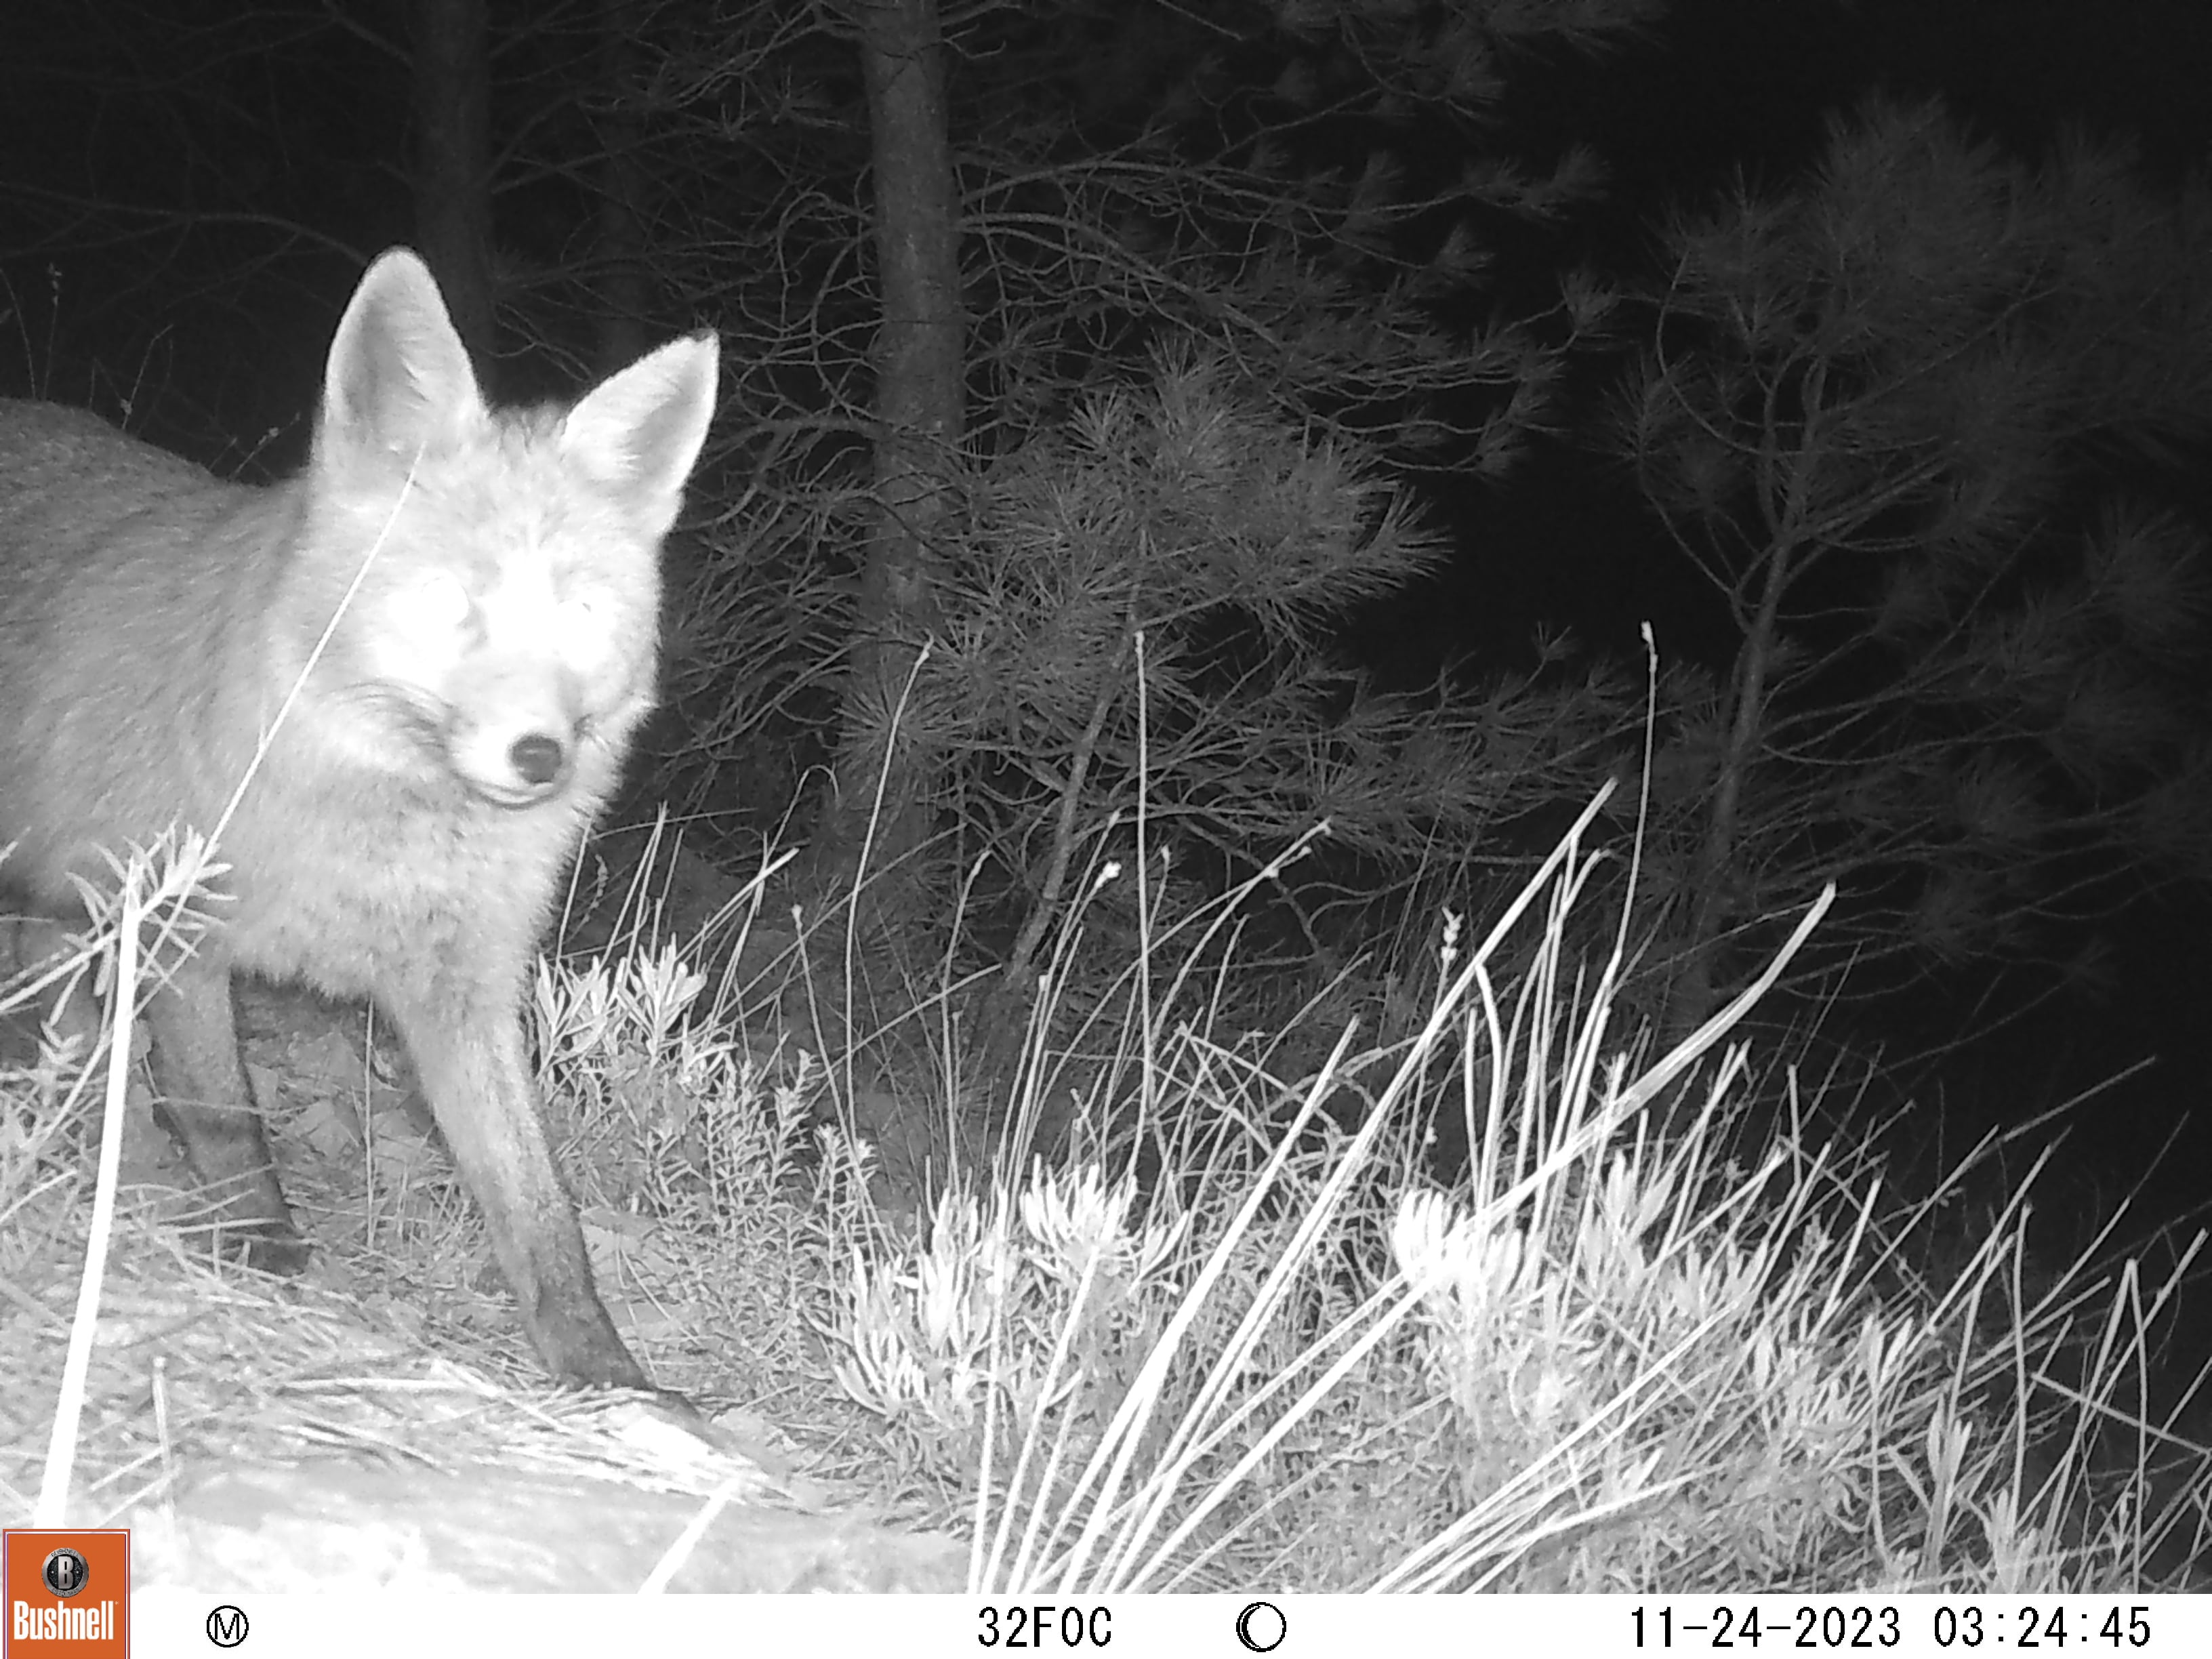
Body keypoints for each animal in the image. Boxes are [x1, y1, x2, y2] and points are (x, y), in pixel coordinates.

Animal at [0, 246, 721, 1389]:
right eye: (456, 605)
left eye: (580, 615)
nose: (541, 757)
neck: (383, 830)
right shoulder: (187, 933)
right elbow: (224, 1114)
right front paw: (259, 1252)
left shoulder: (463, 990)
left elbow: (538, 1208)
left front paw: (602, 1368)